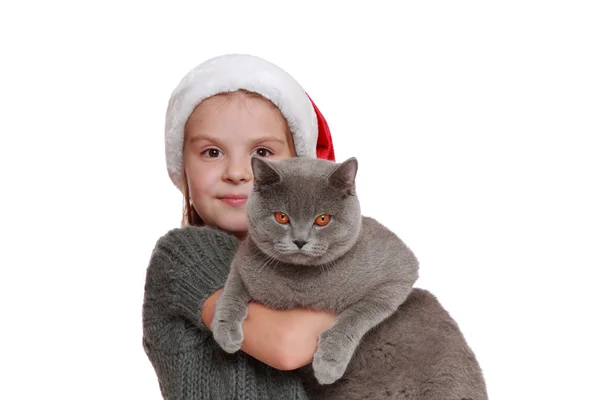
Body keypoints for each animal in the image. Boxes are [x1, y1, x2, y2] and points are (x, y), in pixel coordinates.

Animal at [211, 157, 488, 400]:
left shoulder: (400, 270)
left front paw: (329, 361)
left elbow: (358, 313)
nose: (300, 240)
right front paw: (225, 331)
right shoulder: (245, 260)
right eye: (281, 217)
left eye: (322, 219)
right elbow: (233, 286)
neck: (300, 284)